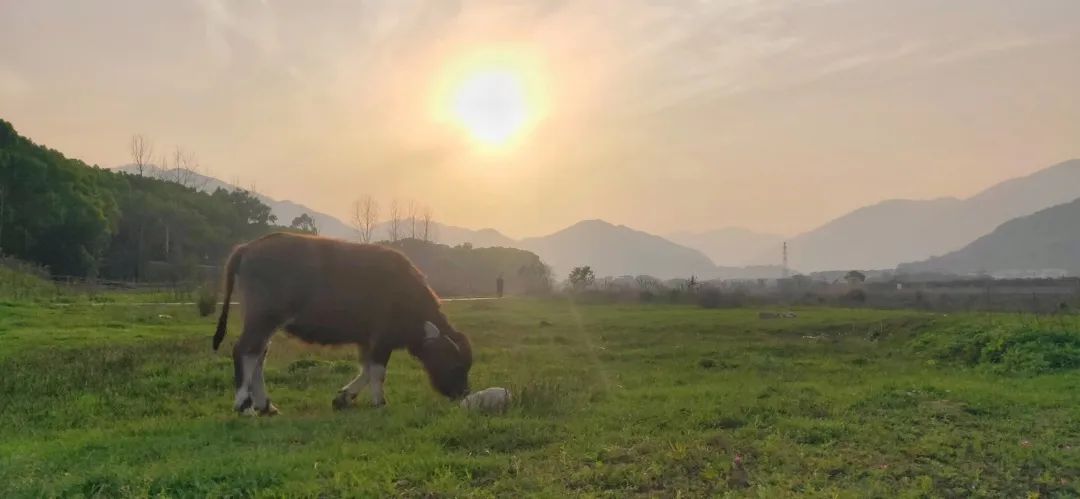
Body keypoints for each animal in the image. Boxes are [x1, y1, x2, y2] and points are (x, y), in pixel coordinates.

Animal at [212, 232, 470, 414]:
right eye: (456, 364)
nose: (462, 393)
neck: (405, 293)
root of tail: (247, 248)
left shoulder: (366, 340)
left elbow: (366, 369)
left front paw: (343, 398)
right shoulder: (381, 339)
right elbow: (377, 371)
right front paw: (379, 401)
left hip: (263, 322)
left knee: (258, 355)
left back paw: (265, 406)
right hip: (263, 317)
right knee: (245, 351)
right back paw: (244, 405)